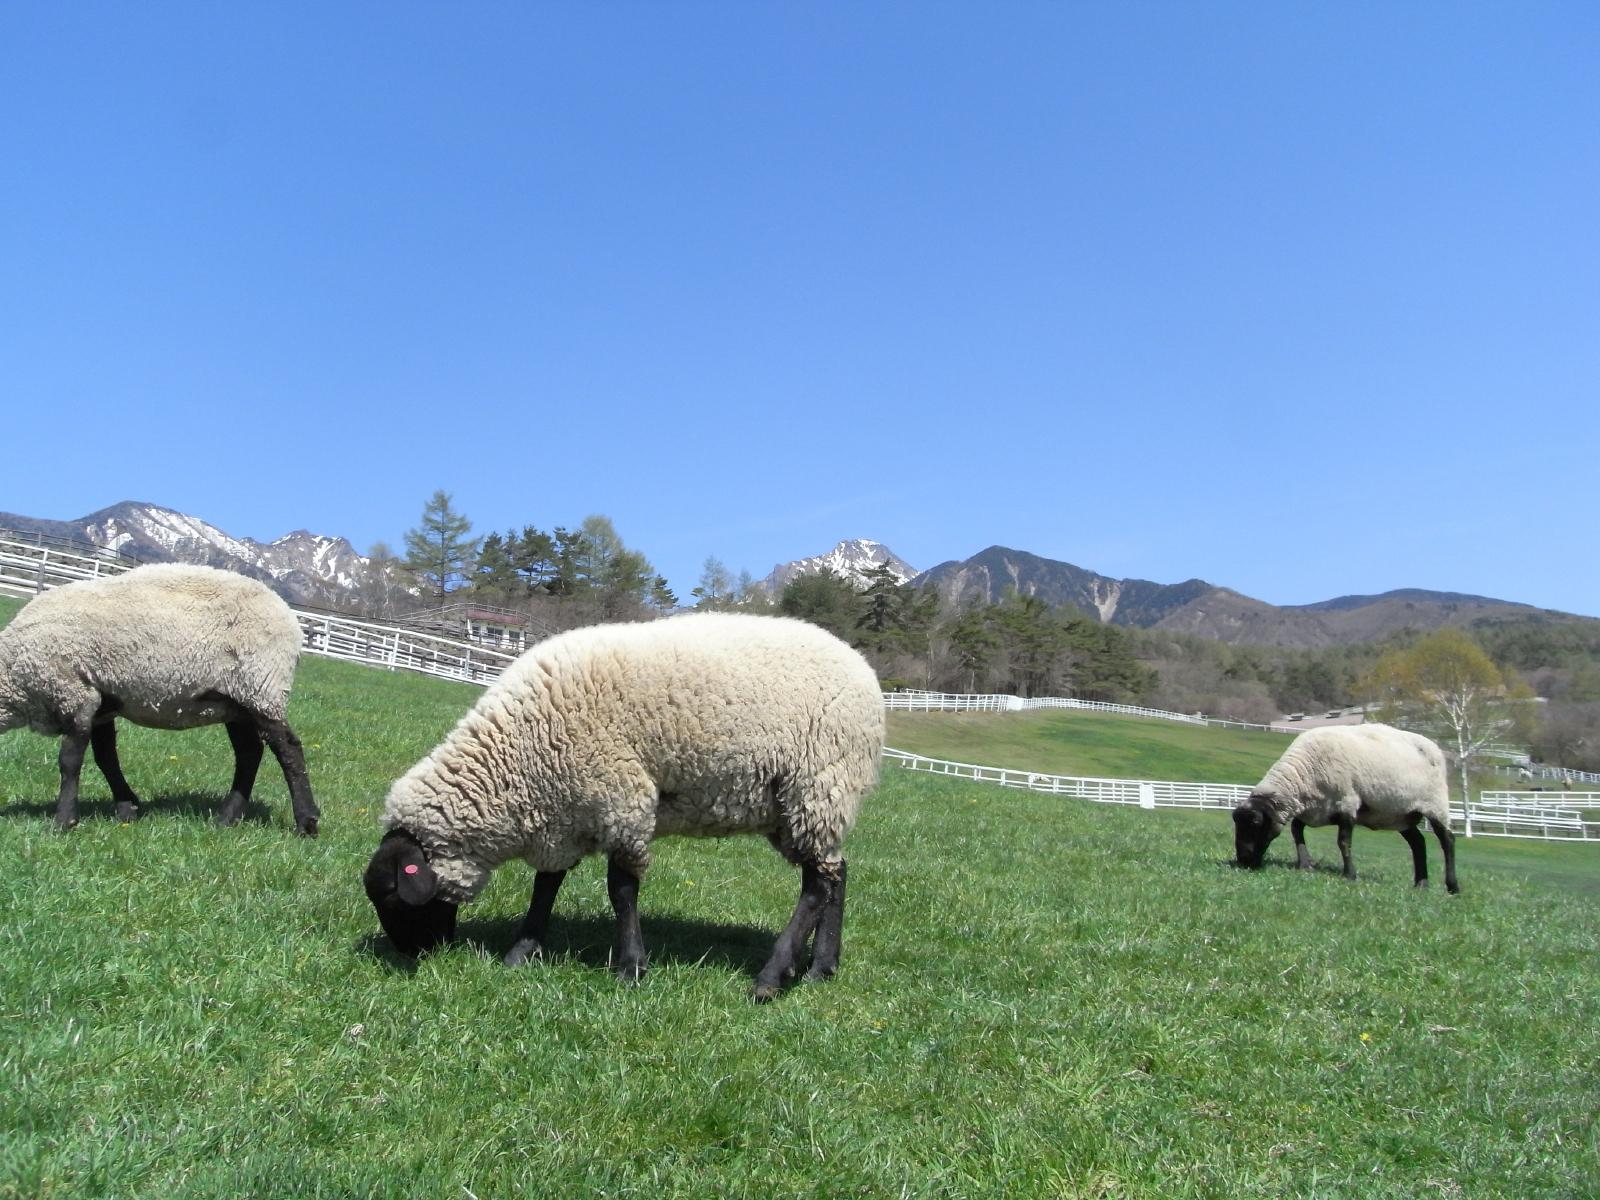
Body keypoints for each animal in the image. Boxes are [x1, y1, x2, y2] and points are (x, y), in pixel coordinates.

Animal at [0, 564, 319, 835]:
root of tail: (290, 618)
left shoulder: (75, 693)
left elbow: (69, 761)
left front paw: (63, 821)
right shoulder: (102, 703)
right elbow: (106, 759)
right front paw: (127, 808)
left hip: (261, 686)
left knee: (288, 749)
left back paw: (306, 822)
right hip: (236, 702)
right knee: (250, 752)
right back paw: (228, 817)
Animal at [362, 612, 884, 1000]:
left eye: (392, 896)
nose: (410, 954)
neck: (519, 757)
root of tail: (863, 668)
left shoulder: (622, 800)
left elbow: (621, 889)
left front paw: (631, 967)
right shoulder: (565, 811)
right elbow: (546, 884)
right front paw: (523, 951)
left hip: (818, 784)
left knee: (816, 886)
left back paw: (772, 977)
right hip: (797, 806)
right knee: (835, 871)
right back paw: (820, 966)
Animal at [1231, 723, 1458, 893]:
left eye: (1255, 822)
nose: (1243, 861)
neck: (1303, 774)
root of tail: (1435, 747)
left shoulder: (1347, 803)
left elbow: (1343, 841)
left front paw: (1350, 874)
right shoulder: (1313, 810)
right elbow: (1296, 830)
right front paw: (1305, 864)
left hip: (1436, 804)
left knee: (1447, 840)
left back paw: (1452, 887)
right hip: (1401, 816)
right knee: (1418, 843)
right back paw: (1421, 884)